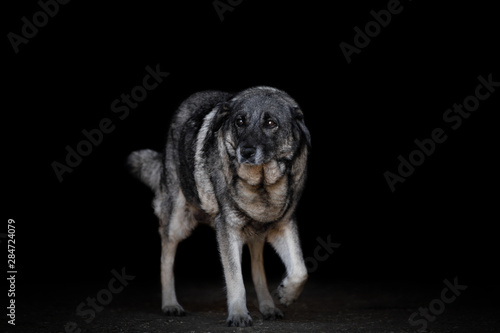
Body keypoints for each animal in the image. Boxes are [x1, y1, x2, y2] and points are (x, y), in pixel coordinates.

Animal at [128, 86, 308, 326]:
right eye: (240, 122)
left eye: (271, 123)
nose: (246, 151)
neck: (261, 185)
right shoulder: (227, 229)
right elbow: (235, 278)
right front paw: (239, 314)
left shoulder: (284, 225)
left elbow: (300, 270)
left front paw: (287, 294)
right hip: (177, 222)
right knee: (166, 258)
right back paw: (170, 304)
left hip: (255, 235)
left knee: (257, 266)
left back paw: (268, 306)